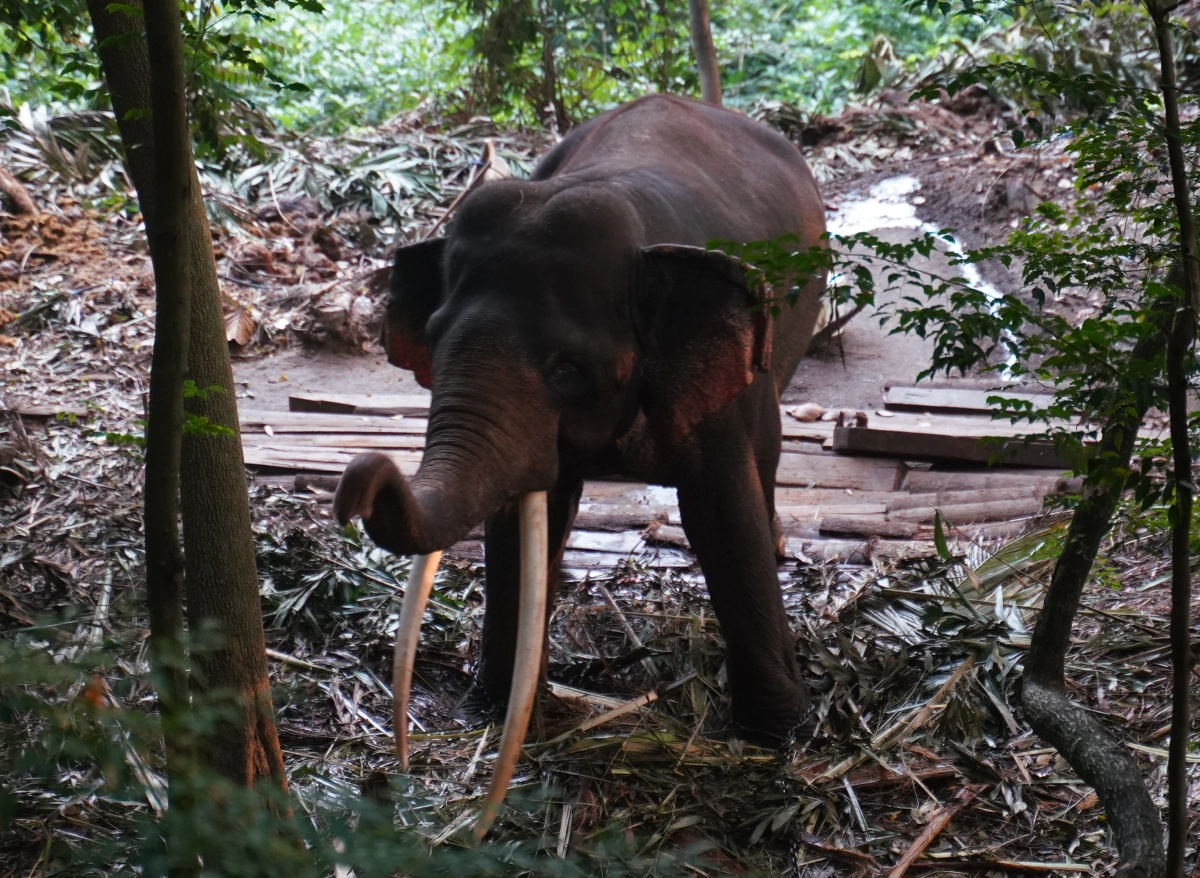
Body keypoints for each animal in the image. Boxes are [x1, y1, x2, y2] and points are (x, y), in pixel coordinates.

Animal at [333, 92, 830, 834]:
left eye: (568, 370)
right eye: (434, 339)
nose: (356, 485)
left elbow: (720, 511)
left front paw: (780, 738)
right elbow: (521, 520)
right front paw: (491, 709)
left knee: (764, 462)